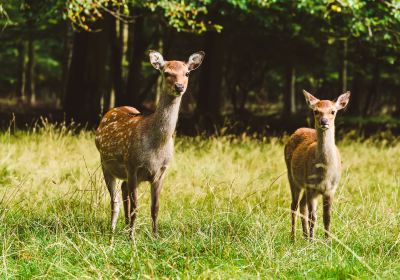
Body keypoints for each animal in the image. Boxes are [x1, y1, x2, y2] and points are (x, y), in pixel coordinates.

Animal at [95, 49, 205, 238]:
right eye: (166, 72)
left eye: (187, 73)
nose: (179, 87)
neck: (156, 149)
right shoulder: (133, 166)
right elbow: (136, 207)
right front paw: (133, 238)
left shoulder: (161, 172)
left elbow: (155, 207)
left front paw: (155, 237)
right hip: (106, 165)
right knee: (114, 200)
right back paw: (113, 231)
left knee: (123, 190)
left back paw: (124, 227)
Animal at [284, 89, 350, 241]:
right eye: (316, 111)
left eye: (333, 111)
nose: (323, 121)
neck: (324, 172)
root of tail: (298, 130)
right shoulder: (311, 187)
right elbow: (313, 217)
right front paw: (313, 241)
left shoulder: (331, 189)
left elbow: (327, 217)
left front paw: (327, 240)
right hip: (292, 177)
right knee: (294, 205)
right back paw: (294, 237)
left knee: (302, 205)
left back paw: (304, 235)